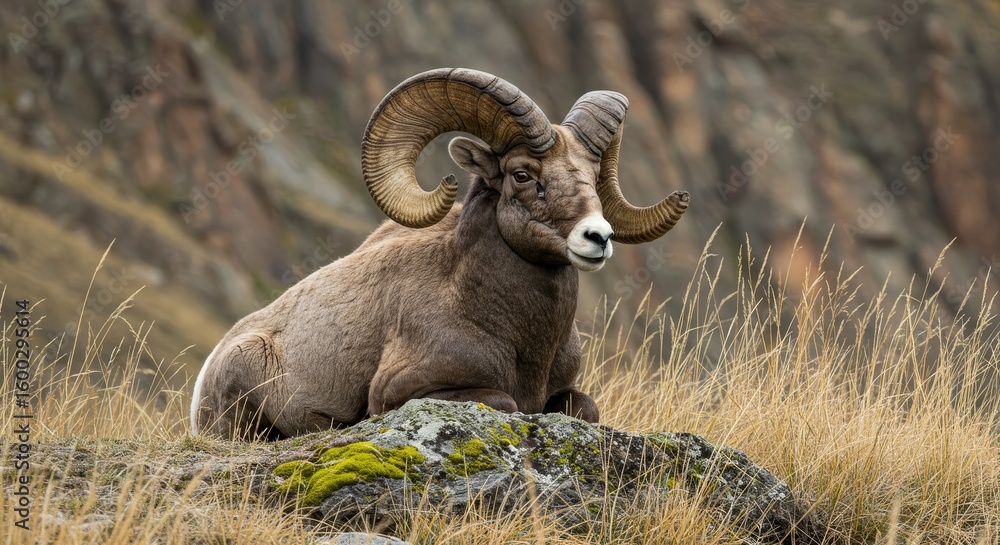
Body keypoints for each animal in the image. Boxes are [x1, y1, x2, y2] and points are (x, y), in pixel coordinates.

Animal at [191, 68, 689, 440]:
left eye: (592, 172)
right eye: (522, 174)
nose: (597, 237)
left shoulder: (568, 392)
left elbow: (586, 407)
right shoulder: (401, 392)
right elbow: (506, 401)